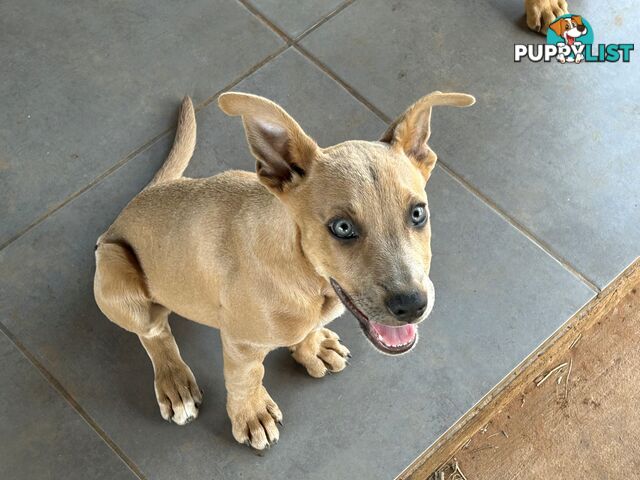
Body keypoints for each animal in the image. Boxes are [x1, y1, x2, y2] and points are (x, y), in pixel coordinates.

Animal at [95, 91, 476, 450]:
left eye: (418, 213)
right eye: (341, 227)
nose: (412, 305)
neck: (307, 276)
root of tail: (136, 200)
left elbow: (307, 330)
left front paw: (313, 347)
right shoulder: (241, 343)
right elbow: (246, 378)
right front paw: (251, 414)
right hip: (114, 270)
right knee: (155, 332)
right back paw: (175, 382)